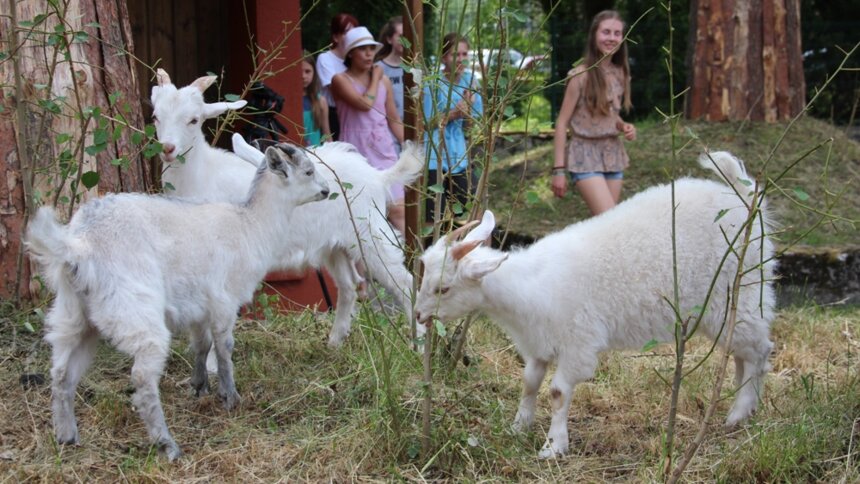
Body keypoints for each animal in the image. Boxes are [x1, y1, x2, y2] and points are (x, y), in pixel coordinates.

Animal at [152, 71, 426, 348]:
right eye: (155, 116)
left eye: (194, 119)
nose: (168, 149)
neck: (202, 173)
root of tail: (378, 176)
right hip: (334, 245)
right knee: (349, 285)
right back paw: (335, 342)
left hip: (371, 235)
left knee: (404, 283)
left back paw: (418, 344)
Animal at [414, 152, 776, 458]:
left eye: (444, 288)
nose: (418, 315)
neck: (531, 284)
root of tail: (745, 200)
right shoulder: (538, 342)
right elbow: (530, 382)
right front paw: (518, 427)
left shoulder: (578, 343)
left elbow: (558, 392)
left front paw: (553, 447)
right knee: (741, 353)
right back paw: (743, 410)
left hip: (739, 294)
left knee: (759, 350)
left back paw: (739, 413)